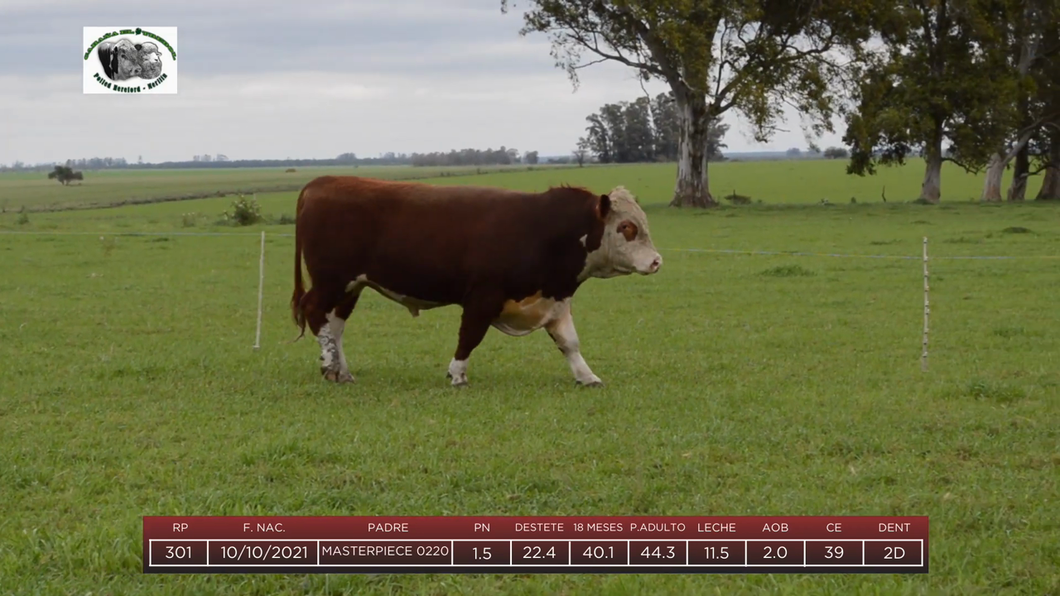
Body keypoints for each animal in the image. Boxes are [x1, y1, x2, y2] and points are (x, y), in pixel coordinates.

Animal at [286, 173, 657, 386]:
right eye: (627, 227)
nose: (656, 261)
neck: (543, 229)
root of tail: (323, 182)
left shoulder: (555, 299)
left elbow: (570, 342)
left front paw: (586, 376)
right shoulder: (483, 296)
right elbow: (470, 336)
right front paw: (457, 374)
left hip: (352, 286)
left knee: (334, 325)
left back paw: (342, 371)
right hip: (331, 280)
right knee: (315, 312)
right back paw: (329, 365)